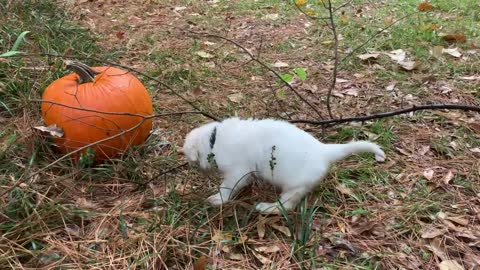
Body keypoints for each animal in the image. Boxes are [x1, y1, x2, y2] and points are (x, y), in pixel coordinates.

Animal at [181, 117, 386, 213]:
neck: (214, 139)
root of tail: (324, 151)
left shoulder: (236, 172)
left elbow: (227, 188)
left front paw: (218, 199)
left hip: (294, 186)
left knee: (286, 205)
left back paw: (267, 208)